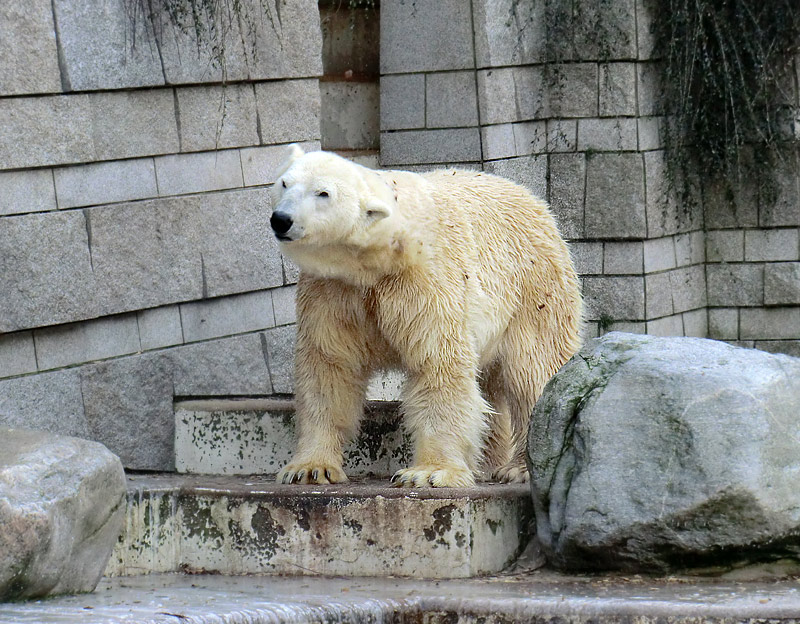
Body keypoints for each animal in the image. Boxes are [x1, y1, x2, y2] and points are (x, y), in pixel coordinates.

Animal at [272, 146, 580, 488]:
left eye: (323, 193)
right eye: (284, 183)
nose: (281, 219)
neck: (377, 261)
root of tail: (536, 201)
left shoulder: (425, 282)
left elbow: (438, 363)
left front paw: (429, 472)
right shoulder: (333, 290)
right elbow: (328, 366)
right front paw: (310, 468)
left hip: (534, 288)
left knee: (534, 369)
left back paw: (520, 468)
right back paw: (489, 461)